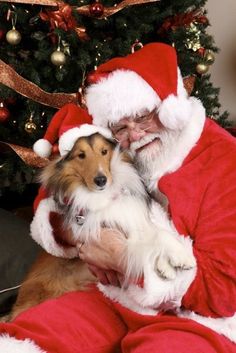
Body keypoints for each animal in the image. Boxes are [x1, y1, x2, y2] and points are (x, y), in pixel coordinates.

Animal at [9, 131, 195, 320]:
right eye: (81, 155)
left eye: (104, 151)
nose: (100, 180)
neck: (106, 197)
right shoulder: (118, 234)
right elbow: (147, 246)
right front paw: (167, 266)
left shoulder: (134, 220)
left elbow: (160, 234)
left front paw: (178, 259)